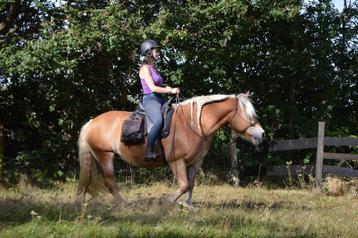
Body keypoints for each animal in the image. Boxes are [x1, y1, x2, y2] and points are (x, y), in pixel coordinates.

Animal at [77, 93, 264, 206]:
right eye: (249, 115)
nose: (261, 134)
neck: (192, 124)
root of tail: (92, 122)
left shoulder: (195, 161)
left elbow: (191, 185)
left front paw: (188, 206)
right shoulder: (176, 161)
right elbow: (183, 185)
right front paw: (166, 202)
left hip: (97, 157)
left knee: (87, 180)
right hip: (105, 156)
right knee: (109, 181)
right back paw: (123, 204)